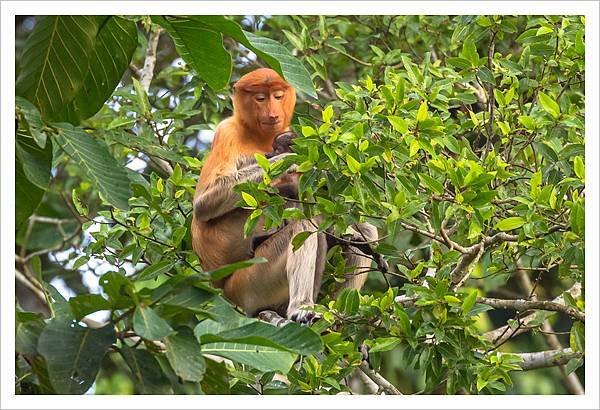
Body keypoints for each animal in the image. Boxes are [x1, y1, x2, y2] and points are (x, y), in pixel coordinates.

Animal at [192, 68, 378, 324]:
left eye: (278, 96)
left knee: (363, 231)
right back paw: (302, 308)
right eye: (260, 98)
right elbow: (204, 204)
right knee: (301, 228)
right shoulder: (226, 131)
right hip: (249, 283)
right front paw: (288, 158)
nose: (272, 113)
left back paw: (334, 315)